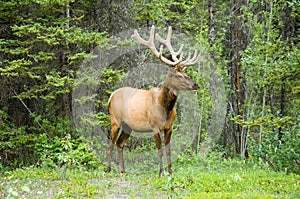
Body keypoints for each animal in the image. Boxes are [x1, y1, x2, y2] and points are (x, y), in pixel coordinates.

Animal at [105, 24, 199, 176]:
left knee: (120, 143)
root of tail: (111, 96)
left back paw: (122, 170)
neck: (165, 107)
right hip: (115, 120)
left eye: (185, 73)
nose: (196, 85)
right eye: (179, 75)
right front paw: (161, 172)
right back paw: (108, 169)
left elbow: (168, 150)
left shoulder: (169, 127)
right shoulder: (154, 126)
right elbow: (159, 150)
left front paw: (170, 171)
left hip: (128, 126)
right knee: (111, 143)